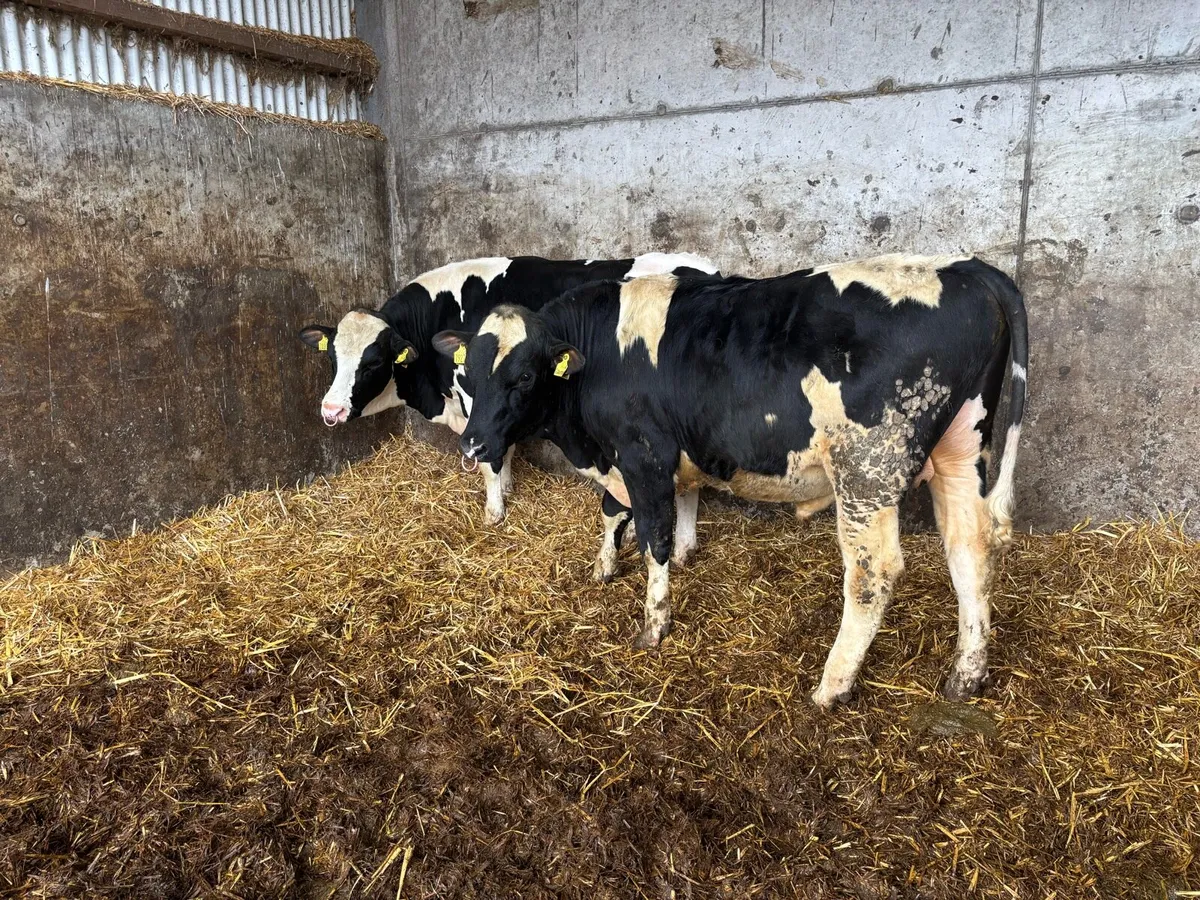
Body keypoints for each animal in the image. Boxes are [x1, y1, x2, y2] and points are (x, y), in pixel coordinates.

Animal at [298, 253, 718, 533]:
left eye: (372, 363)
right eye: (333, 357)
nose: (331, 410)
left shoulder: (477, 398)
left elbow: (487, 459)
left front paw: (494, 510)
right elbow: (504, 446)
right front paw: (508, 486)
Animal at [432, 253, 1028, 709]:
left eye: (524, 376)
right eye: (467, 373)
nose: (474, 445)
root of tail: (963, 267)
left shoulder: (644, 453)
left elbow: (654, 536)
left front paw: (653, 625)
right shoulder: (633, 457)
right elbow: (615, 509)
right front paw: (607, 567)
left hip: (867, 469)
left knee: (872, 574)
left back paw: (832, 686)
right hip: (962, 448)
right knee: (970, 551)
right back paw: (965, 675)